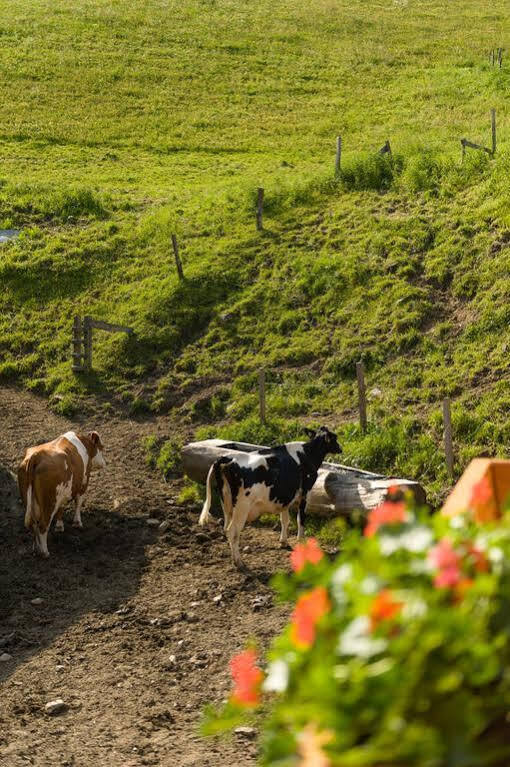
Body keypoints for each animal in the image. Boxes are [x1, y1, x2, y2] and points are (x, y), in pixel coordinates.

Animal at [17, 432, 105, 560]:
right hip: (50, 503)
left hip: (30, 501)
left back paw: (37, 549)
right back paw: (44, 552)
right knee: (43, 526)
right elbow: (78, 503)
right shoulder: (84, 483)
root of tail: (36, 456)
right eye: (102, 447)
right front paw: (77, 523)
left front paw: (59, 526)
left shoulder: (64, 492)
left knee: (34, 524)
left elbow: (61, 508)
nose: (104, 463)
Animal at [197, 426, 340, 568]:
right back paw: (239, 561)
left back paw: (233, 557)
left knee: (226, 528)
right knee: (233, 531)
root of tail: (227, 458)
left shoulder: (284, 497)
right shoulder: (305, 493)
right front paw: (301, 543)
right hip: (242, 506)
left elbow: (285, 520)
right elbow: (301, 519)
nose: (340, 448)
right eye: (334, 437)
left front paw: (283, 541)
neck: (307, 454)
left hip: (225, 501)